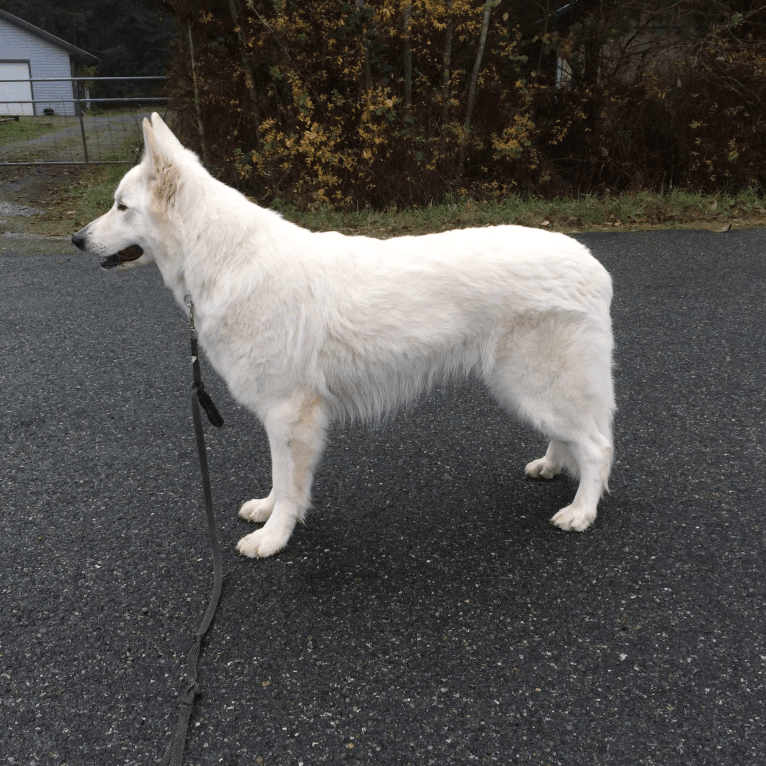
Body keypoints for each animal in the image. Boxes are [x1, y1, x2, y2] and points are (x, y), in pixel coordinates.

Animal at [73, 112, 616, 560]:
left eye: (121, 207)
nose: (76, 240)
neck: (223, 258)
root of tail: (594, 265)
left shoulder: (290, 415)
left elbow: (289, 483)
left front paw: (273, 538)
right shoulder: (281, 418)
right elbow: (279, 480)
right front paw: (268, 511)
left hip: (533, 384)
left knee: (597, 445)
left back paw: (582, 512)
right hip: (528, 389)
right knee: (572, 435)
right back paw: (551, 466)